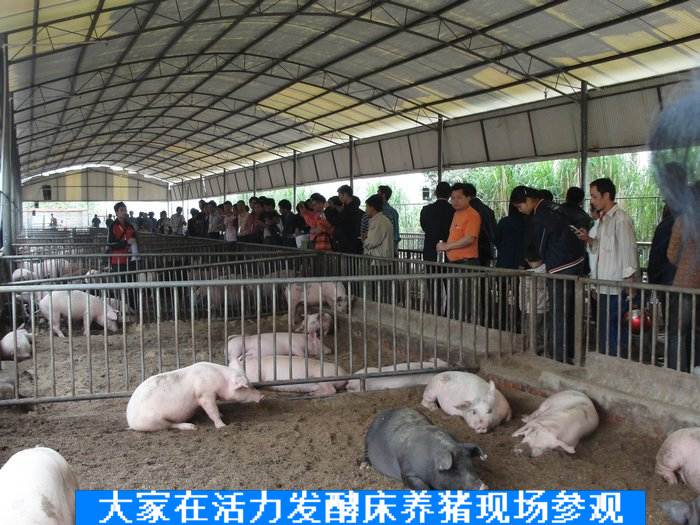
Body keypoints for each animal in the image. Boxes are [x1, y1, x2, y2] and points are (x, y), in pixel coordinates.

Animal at [126, 362, 263, 431]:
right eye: (247, 386)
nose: (262, 396)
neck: (221, 381)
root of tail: (129, 419)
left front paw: (222, 414)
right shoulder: (204, 395)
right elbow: (212, 410)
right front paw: (222, 426)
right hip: (153, 421)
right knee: (169, 425)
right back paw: (192, 427)